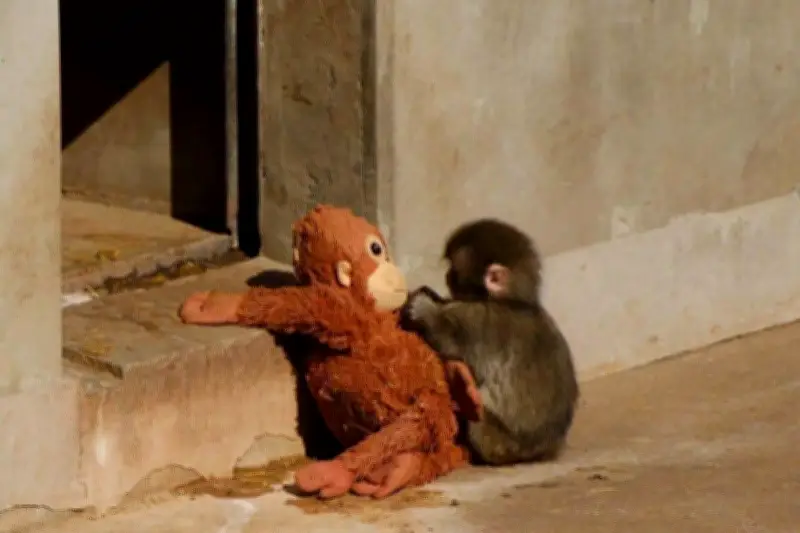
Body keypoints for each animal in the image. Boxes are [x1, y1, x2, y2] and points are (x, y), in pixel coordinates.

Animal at [402, 218, 579, 466]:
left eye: (454, 269)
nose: (447, 275)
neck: (512, 301)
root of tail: (542, 451)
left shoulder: (478, 321)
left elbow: (448, 340)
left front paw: (424, 309)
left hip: (498, 442)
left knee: (477, 420)